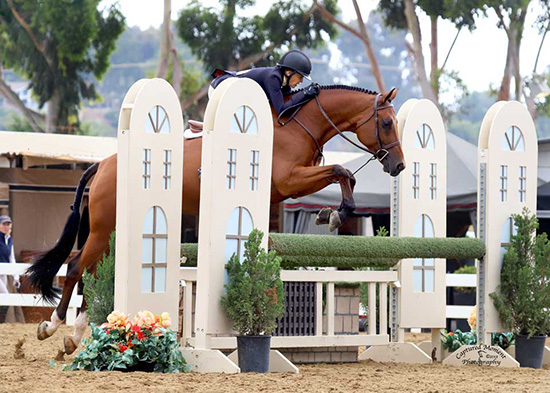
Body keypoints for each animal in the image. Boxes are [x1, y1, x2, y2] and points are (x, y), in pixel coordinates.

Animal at [25, 83, 406, 352]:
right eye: (387, 123)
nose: (399, 166)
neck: (301, 125)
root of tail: (102, 164)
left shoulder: (293, 183)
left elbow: (345, 175)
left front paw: (333, 213)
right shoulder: (290, 179)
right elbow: (342, 170)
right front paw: (336, 214)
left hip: (108, 232)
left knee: (91, 272)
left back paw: (74, 337)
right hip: (105, 229)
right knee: (77, 266)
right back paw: (52, 327)